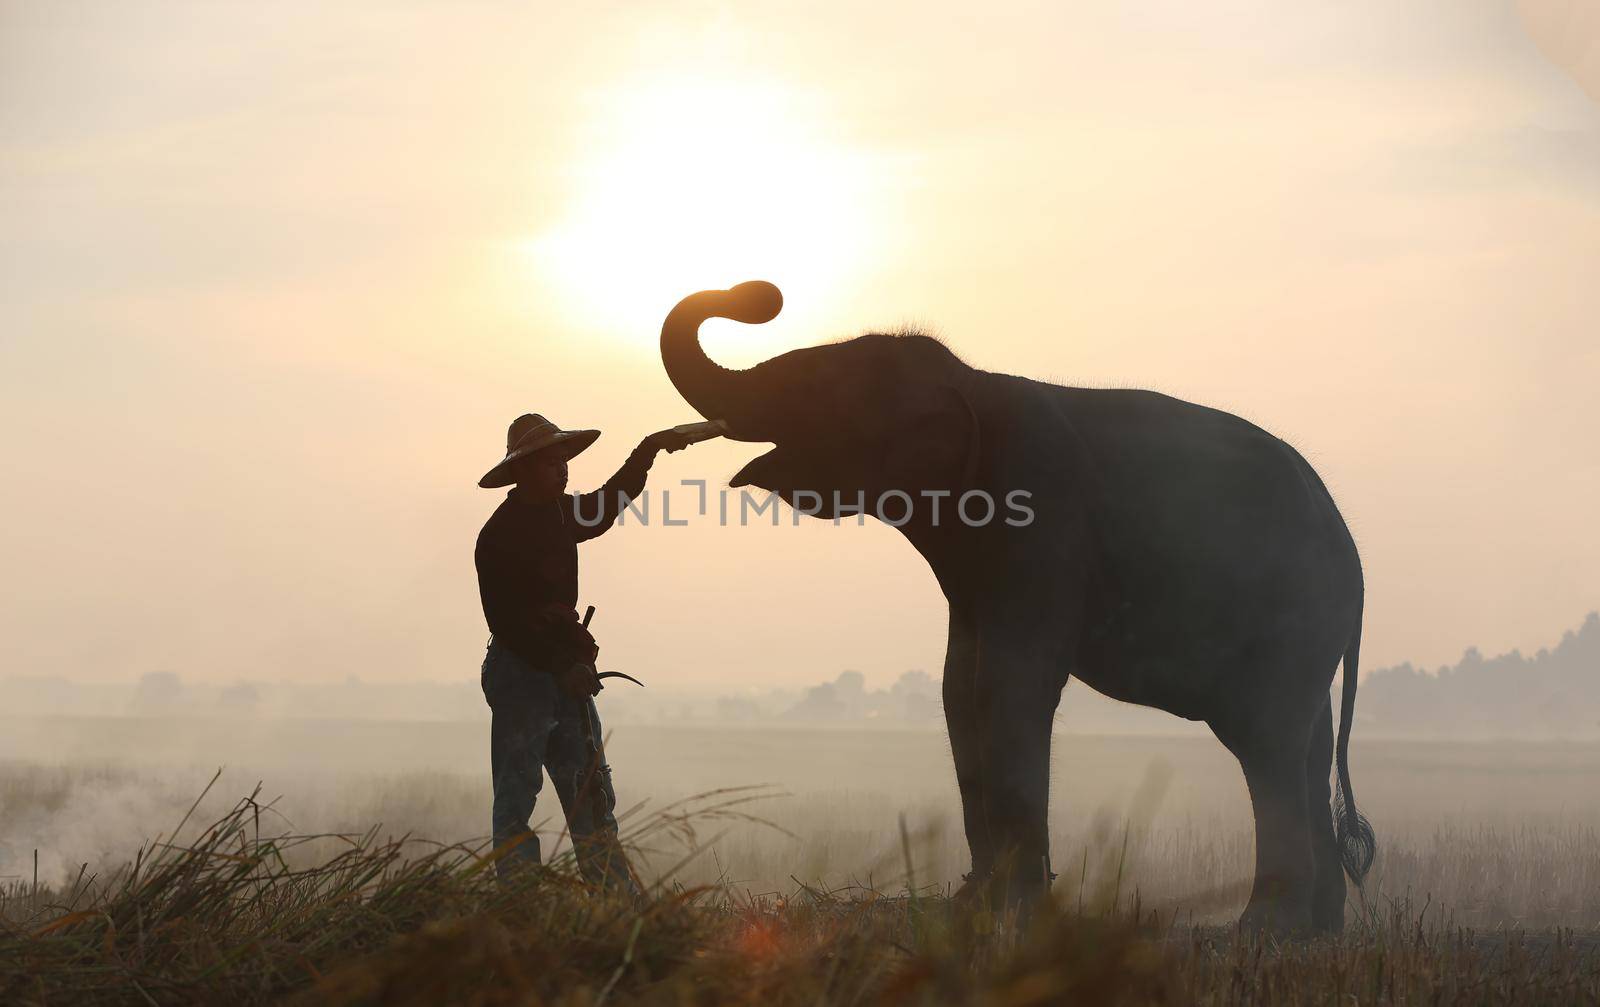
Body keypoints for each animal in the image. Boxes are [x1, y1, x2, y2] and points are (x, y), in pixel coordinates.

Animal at [662, 278, 1376, 928]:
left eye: (816, 387)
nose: (762, 294)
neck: (969, 381)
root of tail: (1351, 548)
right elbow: (958, 687)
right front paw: (971, 908)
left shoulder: (1040, 522)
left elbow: (1006, 684)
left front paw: (1018, 914)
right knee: (1306, 743)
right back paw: (1316, 934)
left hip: (1292, 615)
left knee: (1265, 740)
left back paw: (1255, 934)